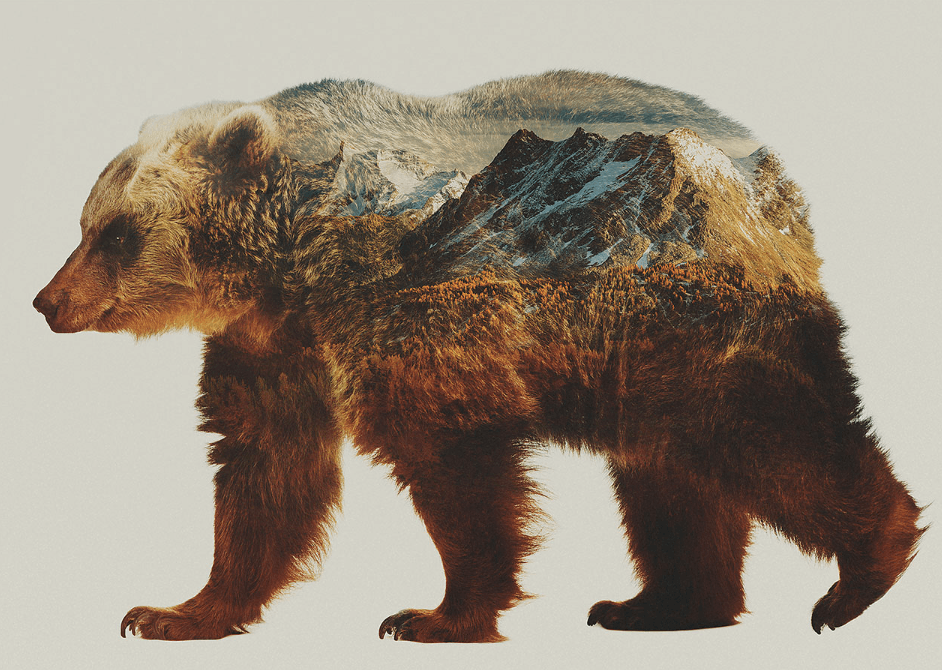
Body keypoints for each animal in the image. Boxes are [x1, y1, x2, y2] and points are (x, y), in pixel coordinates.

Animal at [32, 72, 923, 642]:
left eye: (117, 233)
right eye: (86, 222)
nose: (46, 301)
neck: (296, 262)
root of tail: (773, 180)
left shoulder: (408, 313)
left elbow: (453, 463)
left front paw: (433, 616)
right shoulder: (275, 345)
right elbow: (263, 467)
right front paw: (175, 611)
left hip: (696, 321)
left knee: (774, 440)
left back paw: (863, 571)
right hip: (640, 356)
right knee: (669, 473)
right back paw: (662, 603)